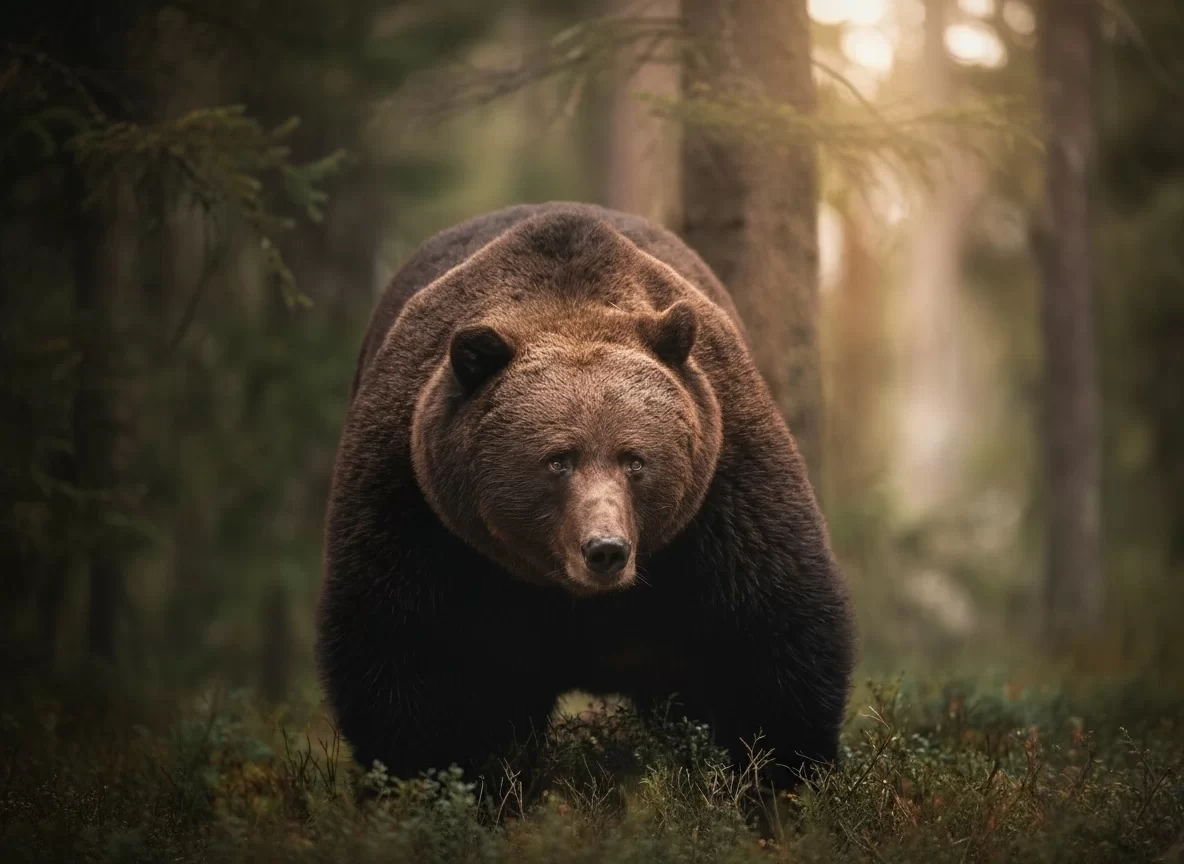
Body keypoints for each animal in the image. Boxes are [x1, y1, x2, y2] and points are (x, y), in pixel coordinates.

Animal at [316, 201, 856, 797]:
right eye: (558, 459)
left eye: (634, 459)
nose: (605, 550)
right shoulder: (418, 510)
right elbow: (412, 660)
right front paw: (436, 780)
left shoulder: (722, 490)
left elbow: (768, 636)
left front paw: (779, 775)